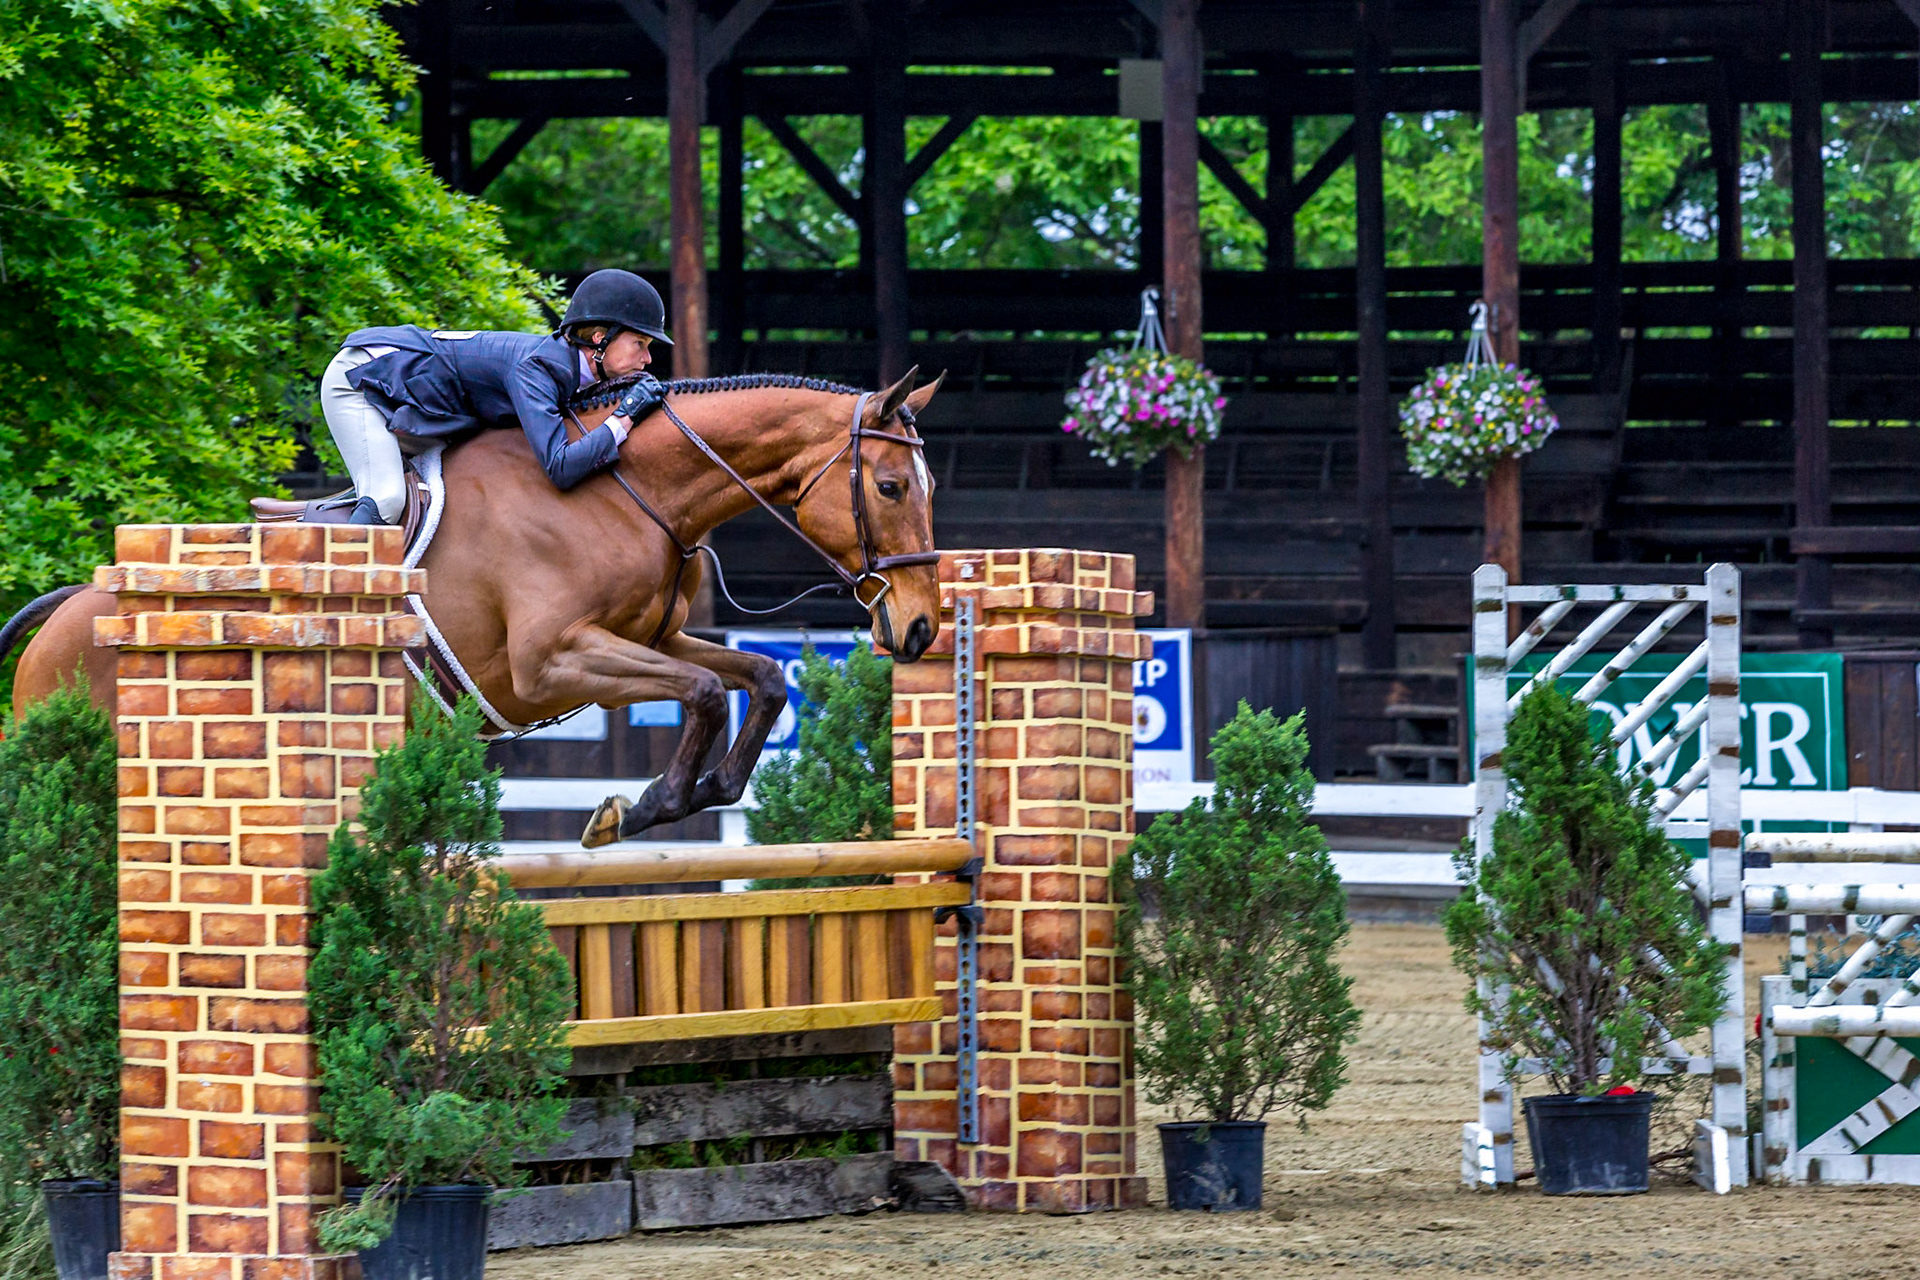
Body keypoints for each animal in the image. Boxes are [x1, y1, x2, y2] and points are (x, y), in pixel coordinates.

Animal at [4, 368, 946, 846]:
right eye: (891, 486)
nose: (920, 628)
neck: (621, 486)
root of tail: (68, 610)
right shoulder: (552, 663)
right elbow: (708, 693)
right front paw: (640, 808)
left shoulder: (658, 635)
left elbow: (756, 678)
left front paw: (702, 791)